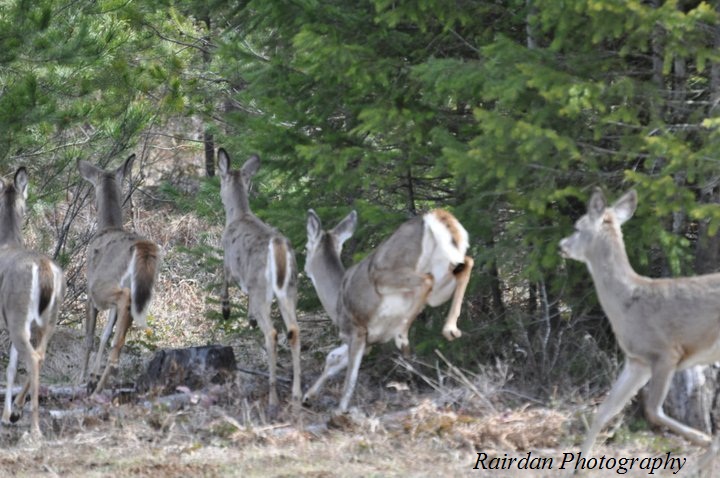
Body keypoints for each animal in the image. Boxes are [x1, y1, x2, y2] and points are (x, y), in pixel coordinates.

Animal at [78, 155, 161, 395]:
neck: (108, 227)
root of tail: (143, 248)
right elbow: (105, 334)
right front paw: (92, 376)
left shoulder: (89, 293)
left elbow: (90, 337)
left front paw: (82, 378)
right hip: (142, 290)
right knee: (120, 336)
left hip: (103, 284)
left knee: (123, 301)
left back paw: (98, 388)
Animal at [217, 148, 301, 414]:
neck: (239, 215)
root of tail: (279, 251)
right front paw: (249, 318)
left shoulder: (229, 260)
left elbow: (224, 278)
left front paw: (226, 310)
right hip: (290, 289)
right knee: (294, 330)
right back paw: (297, 396)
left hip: (262, 289)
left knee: (272, 333)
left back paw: (273, 399)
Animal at [302, 208, 474, 413]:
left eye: (306, 247)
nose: (304, 269)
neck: (336, 301)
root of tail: (433, 215)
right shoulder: (368, 339)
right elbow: (333, 358)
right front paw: (307, 397)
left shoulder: (355, 328)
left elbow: (350, 374)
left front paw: (339, 409)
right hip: (441, 279)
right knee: (464, 265)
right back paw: (450, 329)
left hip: (386, 272)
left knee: (427, 280)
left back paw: (403, 337)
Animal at [560, 188, 720, 465]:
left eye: (577, 227)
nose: (561, 246)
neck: (627, 301)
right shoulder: (637, 361)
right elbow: (605, 410)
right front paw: (577, 466)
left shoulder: (665, 352)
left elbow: (652, 410)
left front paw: (702, 439)